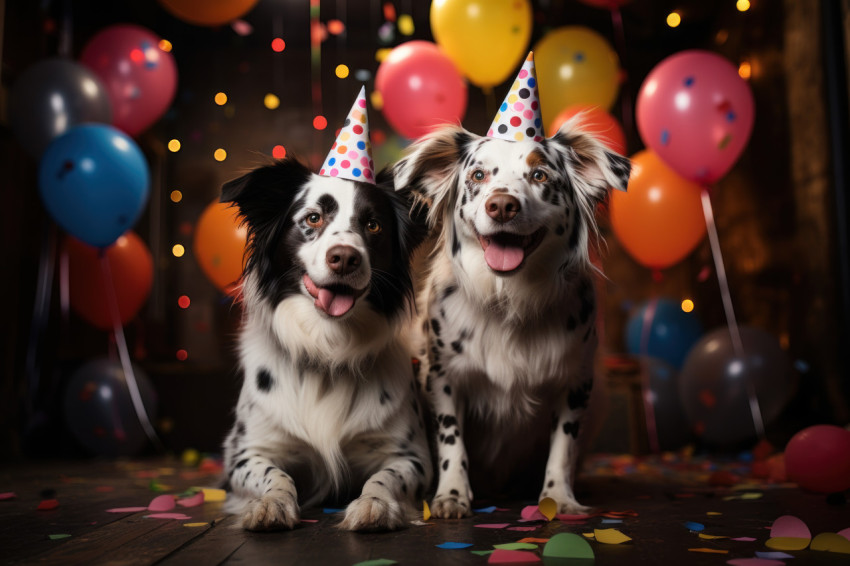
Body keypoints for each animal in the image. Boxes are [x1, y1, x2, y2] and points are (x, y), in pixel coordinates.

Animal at [219, 159, 430, 532]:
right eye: (313, 218)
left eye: (373, 225)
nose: (345, 258)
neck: (327, 347)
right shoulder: (247, 452)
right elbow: (275, 475)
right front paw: (271, 504)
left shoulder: (411, 456)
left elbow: (384, 477)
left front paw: (375, 504)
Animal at [394, 122, 628, 520]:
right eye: (478, 175)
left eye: (539, 175)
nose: (502, 205)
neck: (508, 296)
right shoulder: (441, 377)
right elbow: (451, 440)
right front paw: (451, 495)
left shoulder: (577, 383)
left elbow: (563, 446)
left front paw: (558, 496)